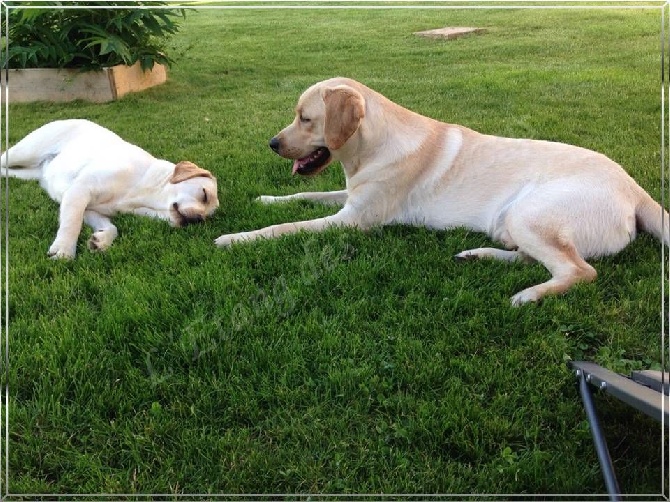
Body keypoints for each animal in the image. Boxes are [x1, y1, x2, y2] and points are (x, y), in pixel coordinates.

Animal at [1, 118, 219, 258]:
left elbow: (112, 227)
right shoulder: (80, 190)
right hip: (24, 152)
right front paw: (64, 249)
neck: (144, 192)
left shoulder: (89, 208)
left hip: (26, 172)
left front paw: (101, 240)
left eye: (209, 217)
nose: (199, 220)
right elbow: (72, 223)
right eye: (204, 195)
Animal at [217, 77, 670, 306]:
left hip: (531, 214)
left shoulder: (353, 221)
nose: (272, 143)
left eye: (305, 118)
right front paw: (266, 200)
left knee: (579, 271)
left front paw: (236, 237)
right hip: (513, 221)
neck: (371, 147)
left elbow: (284, 228)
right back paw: (478, 256)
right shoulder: (349, 198)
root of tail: (634, 187)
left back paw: (528, 296)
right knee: (535, 258)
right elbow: (299, 200)